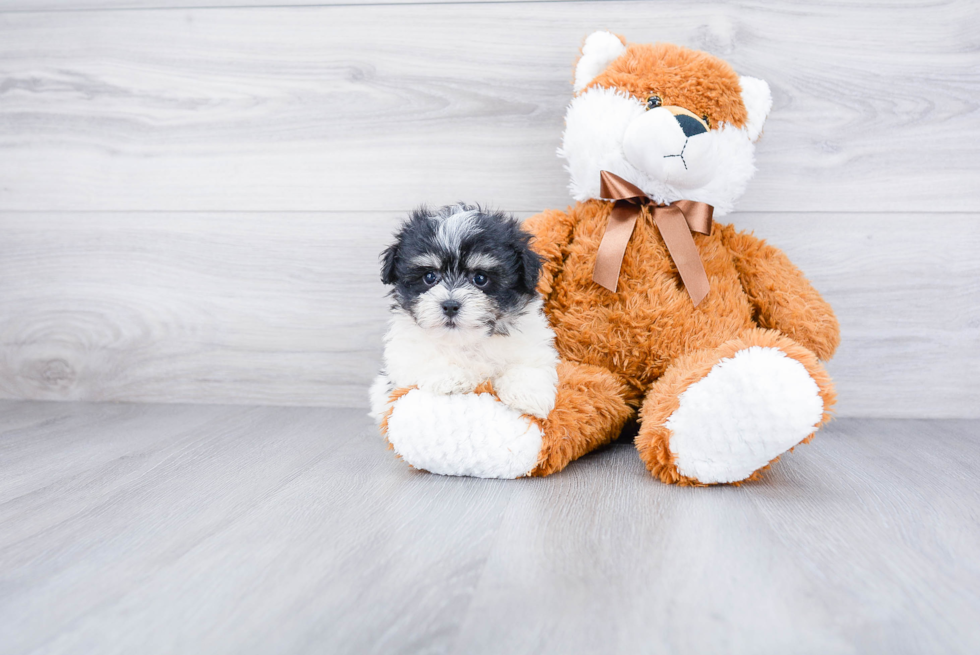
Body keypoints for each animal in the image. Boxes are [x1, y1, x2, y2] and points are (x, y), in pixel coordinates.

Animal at [370, 202, 560, 422]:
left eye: (480, 278)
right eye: (429, 276)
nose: (450, 305)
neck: (465, 342)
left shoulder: (530, 343)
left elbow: (529, 363)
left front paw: (527, 395)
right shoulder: (404, 355)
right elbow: (425, 358)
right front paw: (451, 377)